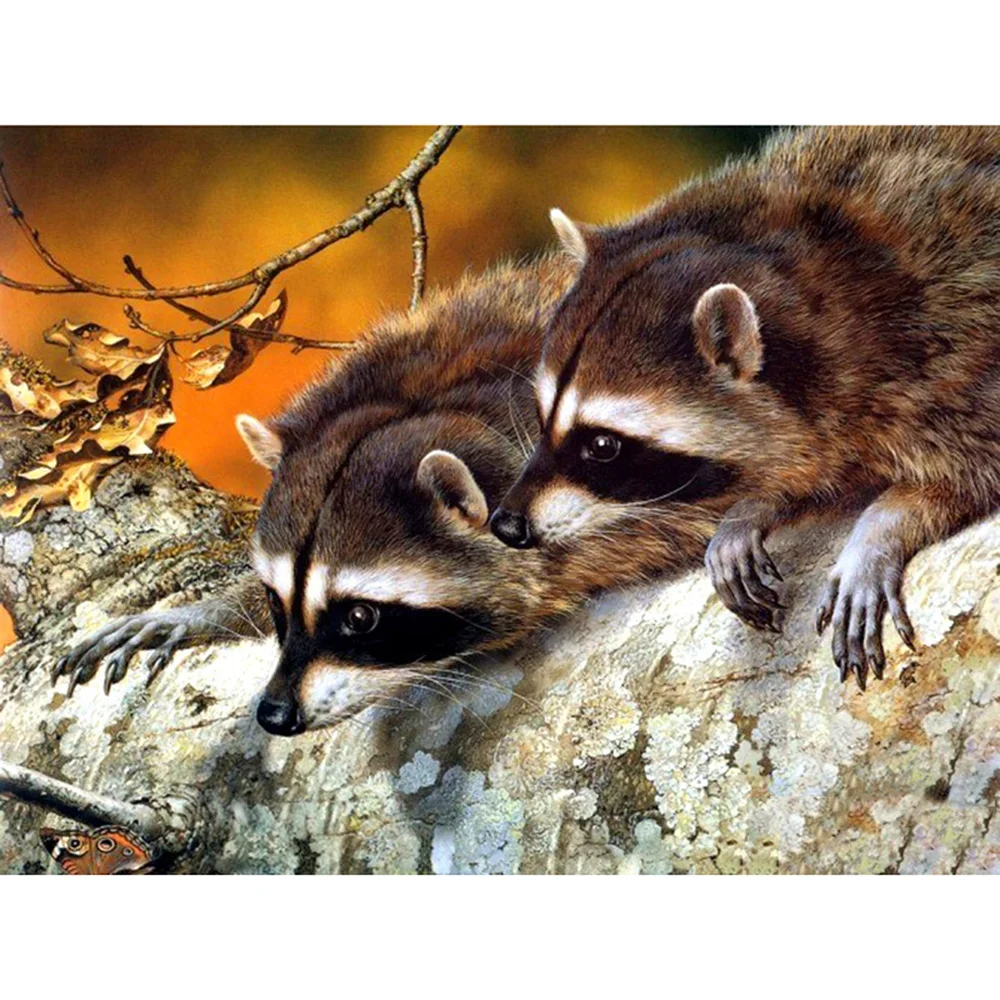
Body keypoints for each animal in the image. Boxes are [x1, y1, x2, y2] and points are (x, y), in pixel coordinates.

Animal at [491, 126, 1000, 690]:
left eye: (603, 445)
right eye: (542, 415)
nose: (506, 526)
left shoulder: (956, 346)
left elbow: (971, 477)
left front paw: (879, 529)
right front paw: (755, 506)